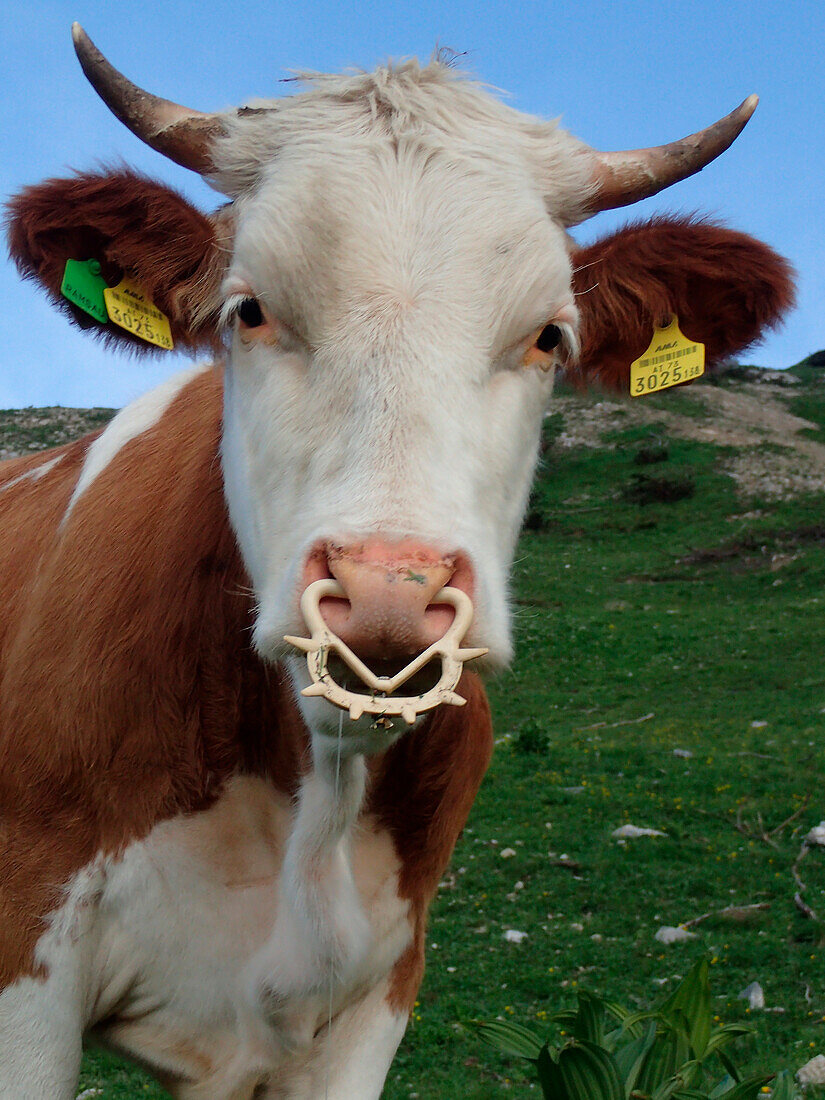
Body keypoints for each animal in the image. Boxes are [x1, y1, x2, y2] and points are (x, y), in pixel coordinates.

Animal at [1, 25, 796, 1100]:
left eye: (549, 335)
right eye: (248, 310)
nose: (387, 593)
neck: (315, 798)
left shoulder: (376, 997)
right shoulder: (28, 965)